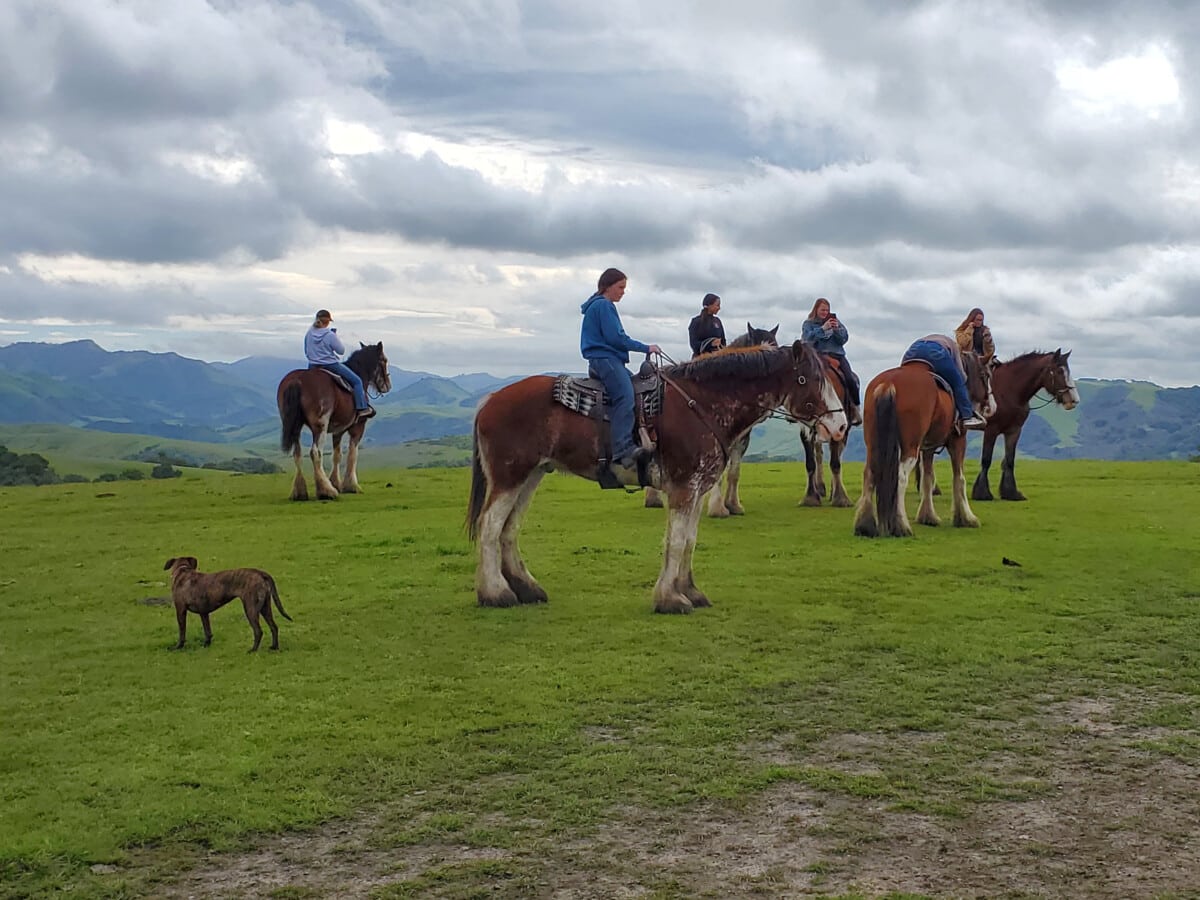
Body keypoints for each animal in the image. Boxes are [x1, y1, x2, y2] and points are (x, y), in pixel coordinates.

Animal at [277, 343, 391, 501]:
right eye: (384, 360)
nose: (388, 385)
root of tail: (297, 380)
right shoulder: (357, 427)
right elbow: (352, 454)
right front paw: (351, 485)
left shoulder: (338, 430)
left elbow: (337, 455)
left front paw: (336, 483)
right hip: (320, 426)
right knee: (315, 452)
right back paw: (326, 491)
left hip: (295, 426)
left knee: (297, 454)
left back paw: (300, 492)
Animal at [467, 342, 846, 614]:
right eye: (809, 380)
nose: (841, 426)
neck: (704, 403)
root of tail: (489, 400)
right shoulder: (682, 487)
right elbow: (675, 541)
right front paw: (669, 599)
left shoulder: (697, 488)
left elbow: (689, 541)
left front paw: (690, 591)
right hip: (510, 476)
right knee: (490, 526)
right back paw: (496, 593)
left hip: (530, 476)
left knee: (509, 529)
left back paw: (525, 588)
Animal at [853, 350, 995, 538]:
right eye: (985, 375)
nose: (991, 406)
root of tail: (888, 383)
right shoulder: (958, 440)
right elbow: (959, 478)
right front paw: (966, 518)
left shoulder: (928, 447)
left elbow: (928, 478)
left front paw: (928, 516)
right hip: (910, 446)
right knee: (900, 477)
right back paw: (901, 526)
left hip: (873, 444)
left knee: (869, 474)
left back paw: (865, 525)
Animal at [972, 349, 1078, 501]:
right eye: (1059, 371)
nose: (1074, 400)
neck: (1008, 389)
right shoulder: (991, 430)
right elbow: (986, 460)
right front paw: (982, 493)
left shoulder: (1014, 431)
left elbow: (1009, 460)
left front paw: (1011, 492)